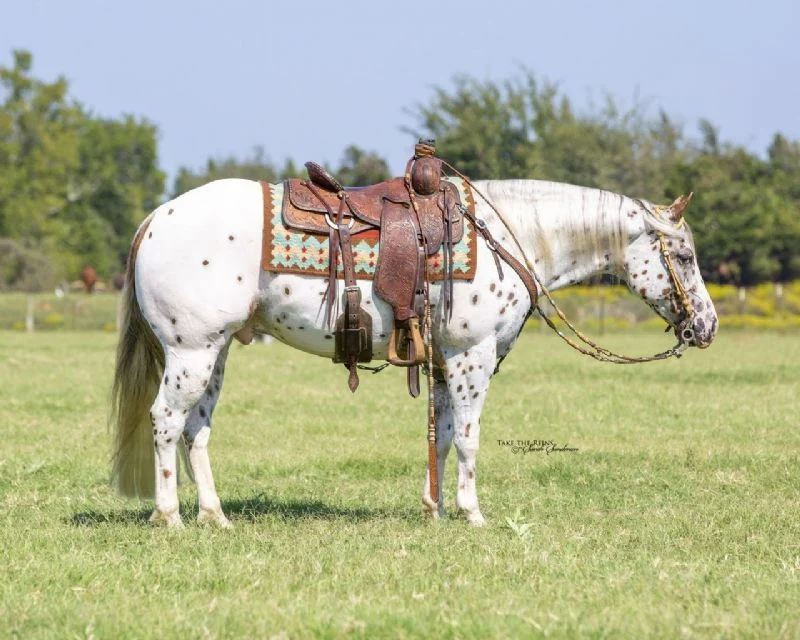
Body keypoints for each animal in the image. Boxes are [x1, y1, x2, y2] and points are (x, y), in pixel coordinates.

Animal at [110, 177, 718, 528]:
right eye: (686, 256)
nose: (707, 326)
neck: (510, 236)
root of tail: (156, 219)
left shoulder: (447, 361)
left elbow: (443, 437)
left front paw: (435, 509)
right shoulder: (473, 356)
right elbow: (469, 439)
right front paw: (472, 515)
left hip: (214, 353)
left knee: (196, 430)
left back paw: (215, 517)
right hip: (190, 351)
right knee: (166, 422)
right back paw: (169, 517)